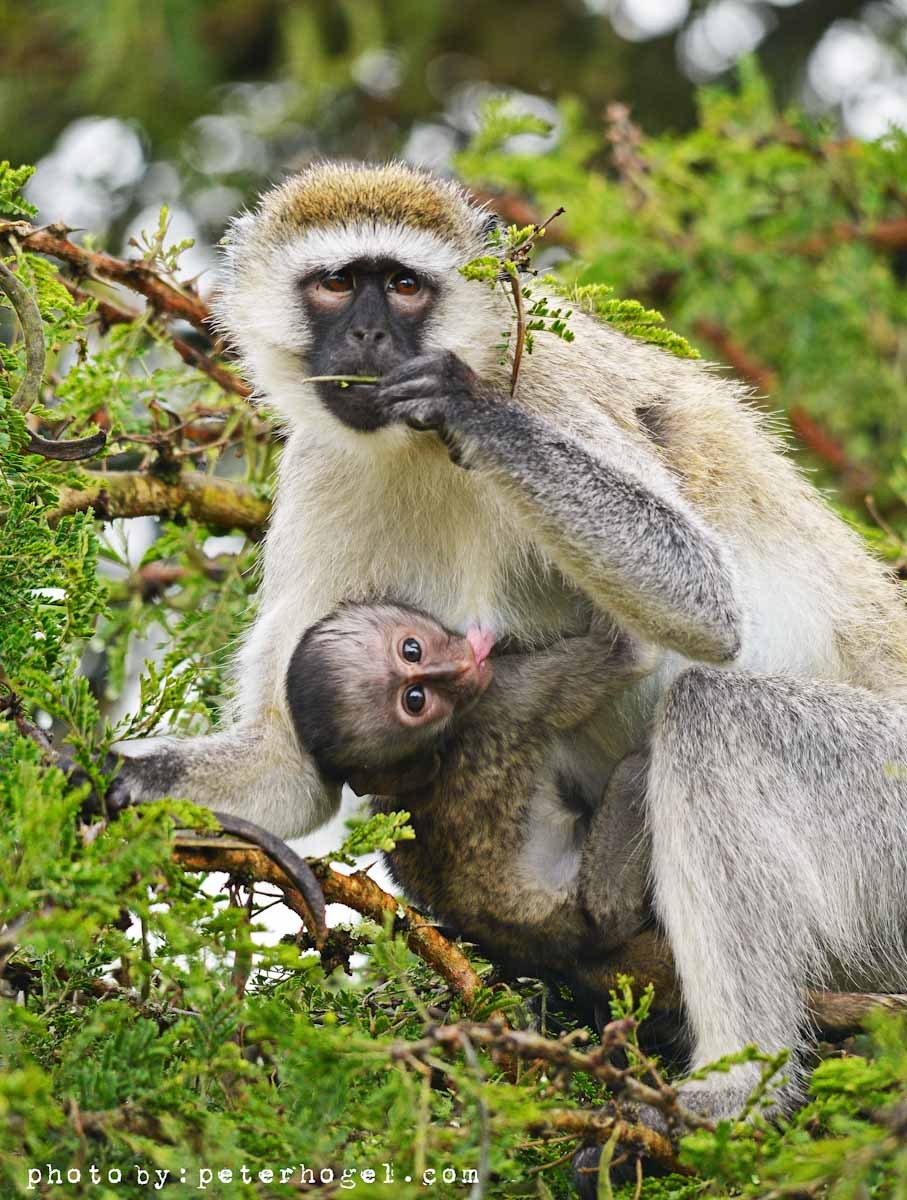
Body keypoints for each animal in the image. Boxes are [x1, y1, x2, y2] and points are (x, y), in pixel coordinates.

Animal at [284, 600, 656, 981]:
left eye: (412, 650)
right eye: (415, 699)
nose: (458, 668)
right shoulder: (507, 694)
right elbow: (626, 653)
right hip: (604, 907)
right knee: (634, 771)